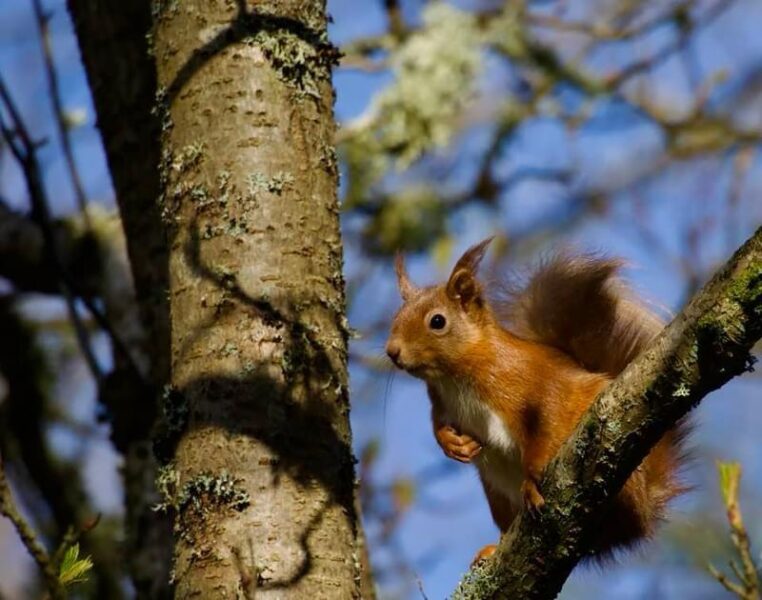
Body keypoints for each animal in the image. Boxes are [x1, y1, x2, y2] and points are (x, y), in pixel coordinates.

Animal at [385, 237, 687, 564]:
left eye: (437, 321)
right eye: (396, 317)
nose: (392, 351)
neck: (453, 378)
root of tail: (646, 504)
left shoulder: (535, 382)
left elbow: (547, 423)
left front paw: (532, 481)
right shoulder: (441, 404)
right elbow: (437, 425)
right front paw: (452, 444)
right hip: (497, 495)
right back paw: (493, 548)